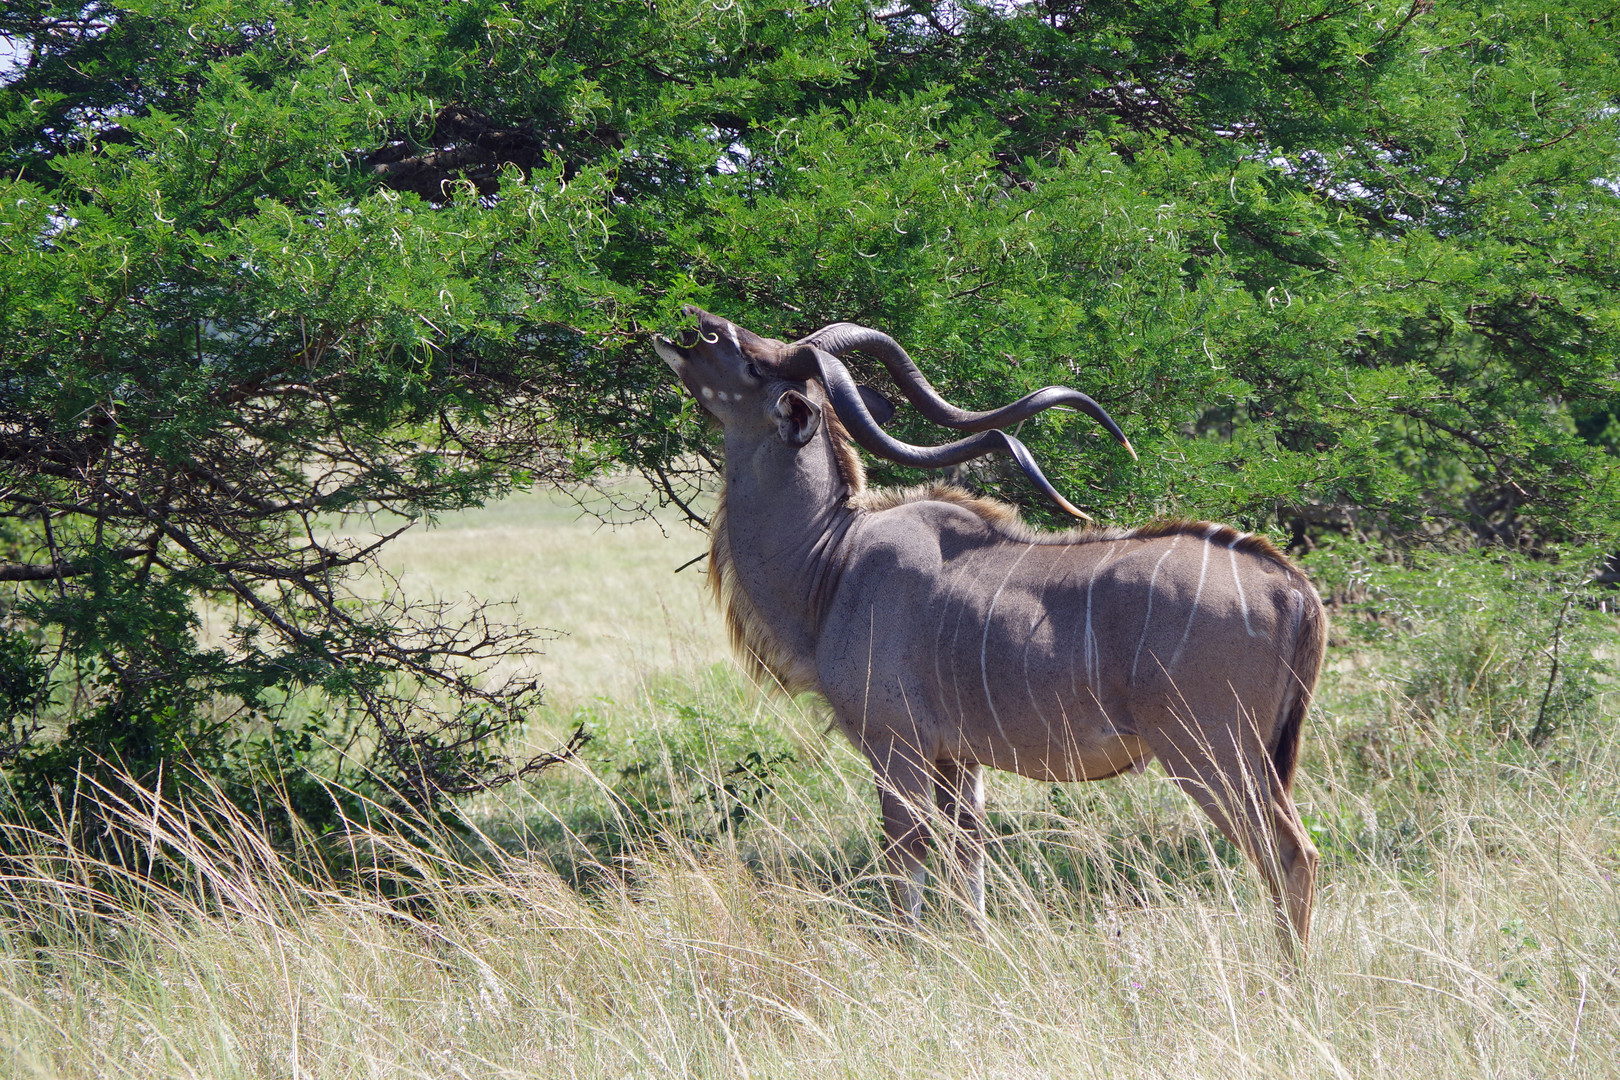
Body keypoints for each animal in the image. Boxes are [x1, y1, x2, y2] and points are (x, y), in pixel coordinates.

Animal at [657, 306, 1328, 952]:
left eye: (755, 364)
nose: (695, 318)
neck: (833, 560)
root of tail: (1293, 587)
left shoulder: (895, 748)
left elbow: (909, 867)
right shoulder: (959, 760)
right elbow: (969, 867)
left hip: (1210, 753)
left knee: (1290, 853)